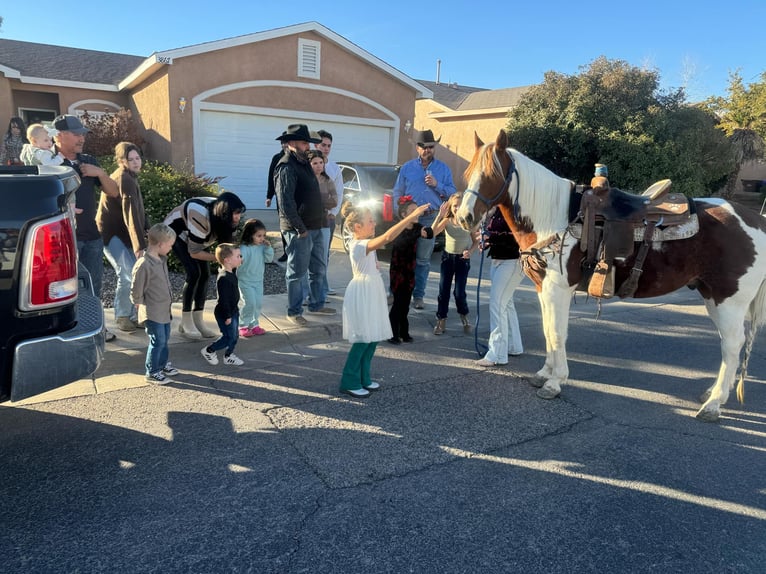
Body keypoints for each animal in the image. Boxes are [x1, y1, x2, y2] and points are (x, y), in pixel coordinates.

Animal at [460, 132, 764, 424]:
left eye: (491, 175)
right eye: (468, 173)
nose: (464, 217)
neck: (556, 217)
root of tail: (756, 221)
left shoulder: (558, 288)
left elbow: (558, 333)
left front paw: (555, 382)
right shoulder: (542, 287)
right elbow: (548, 330)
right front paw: (544, 373)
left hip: (729, 300)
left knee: (733, 344)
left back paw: (713, 405)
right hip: (711, 296)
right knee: (729, 344)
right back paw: (714, 394)